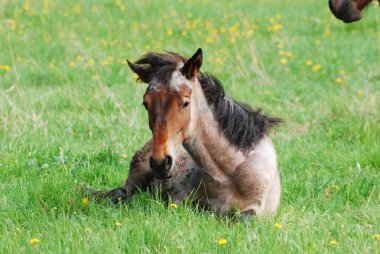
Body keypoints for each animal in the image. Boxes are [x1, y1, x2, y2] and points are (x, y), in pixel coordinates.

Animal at [98, 48, 282, 216]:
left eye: (186, 102)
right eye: (145, 103)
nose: (160, 163)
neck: (229, 173)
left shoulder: (255, 211)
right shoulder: (179, 197)